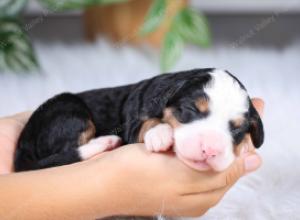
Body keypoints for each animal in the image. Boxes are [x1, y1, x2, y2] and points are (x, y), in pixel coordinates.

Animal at [14, 69, 264, 172]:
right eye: (190, 110)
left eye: (237, 130)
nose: (210, 150)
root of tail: (22, 141)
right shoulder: (133, 124)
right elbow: (148, 123)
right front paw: (161, 134)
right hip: (70, 111)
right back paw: (106, 142)